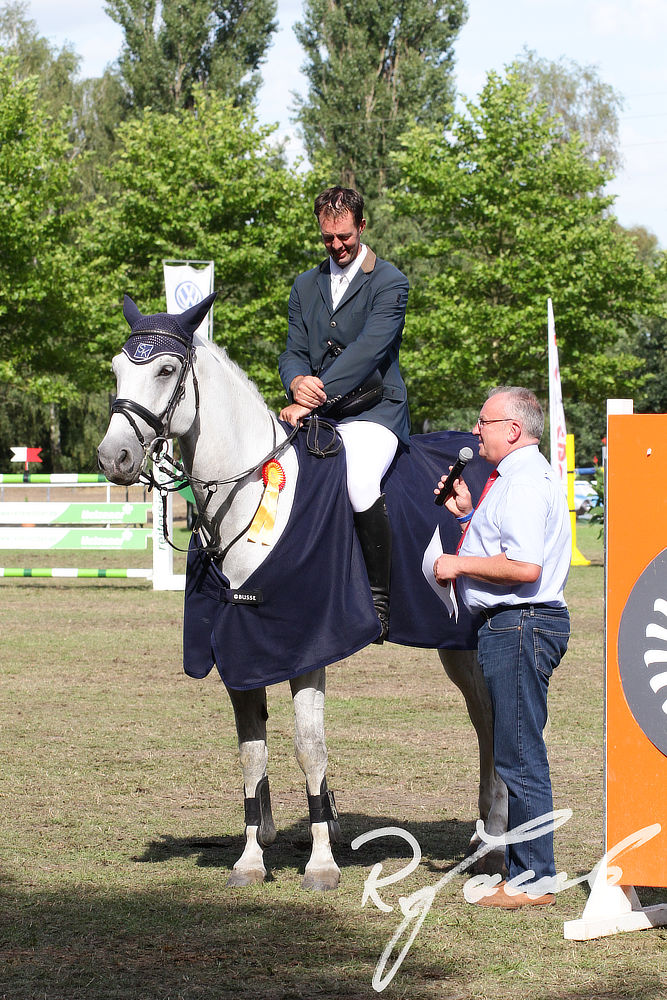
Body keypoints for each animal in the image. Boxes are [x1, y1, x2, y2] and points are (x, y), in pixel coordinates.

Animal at [97, 294, 507, 891]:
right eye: (116, 369)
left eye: (167, 370)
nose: (114, 458)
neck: (251, 494)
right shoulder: (240, 647)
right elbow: (251, 750)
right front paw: (251, 856)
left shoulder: (307, 646)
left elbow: (309, 747)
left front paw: (320, 863)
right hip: (453, 644)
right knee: (482, 717)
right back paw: (484, 833)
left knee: (495, 719)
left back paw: (497, 838)